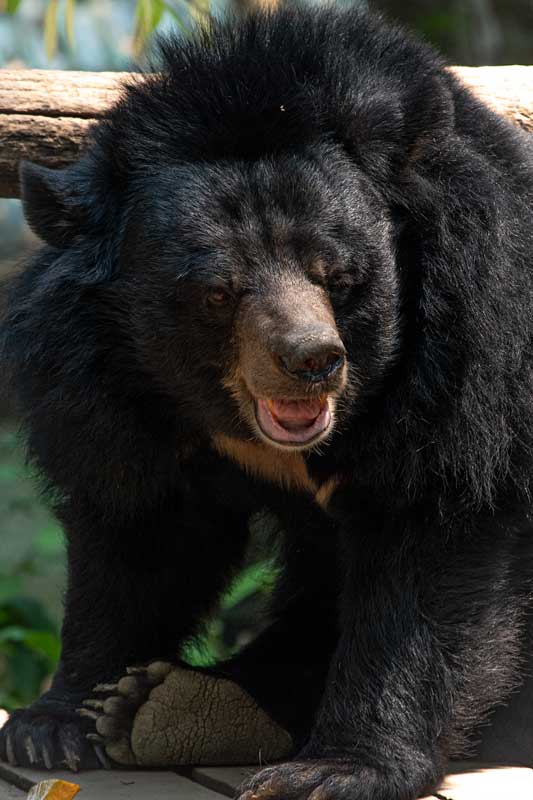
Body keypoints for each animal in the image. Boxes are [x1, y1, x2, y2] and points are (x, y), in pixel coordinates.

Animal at [1, 6, 532, 800]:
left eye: (336, 273)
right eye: (217, 293)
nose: (311, 360)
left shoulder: (470, 352)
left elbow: (430, 532)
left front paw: (338, 768)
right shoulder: (100, 384)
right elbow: (138, 529)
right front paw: (55, 723)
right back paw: (163, 708)